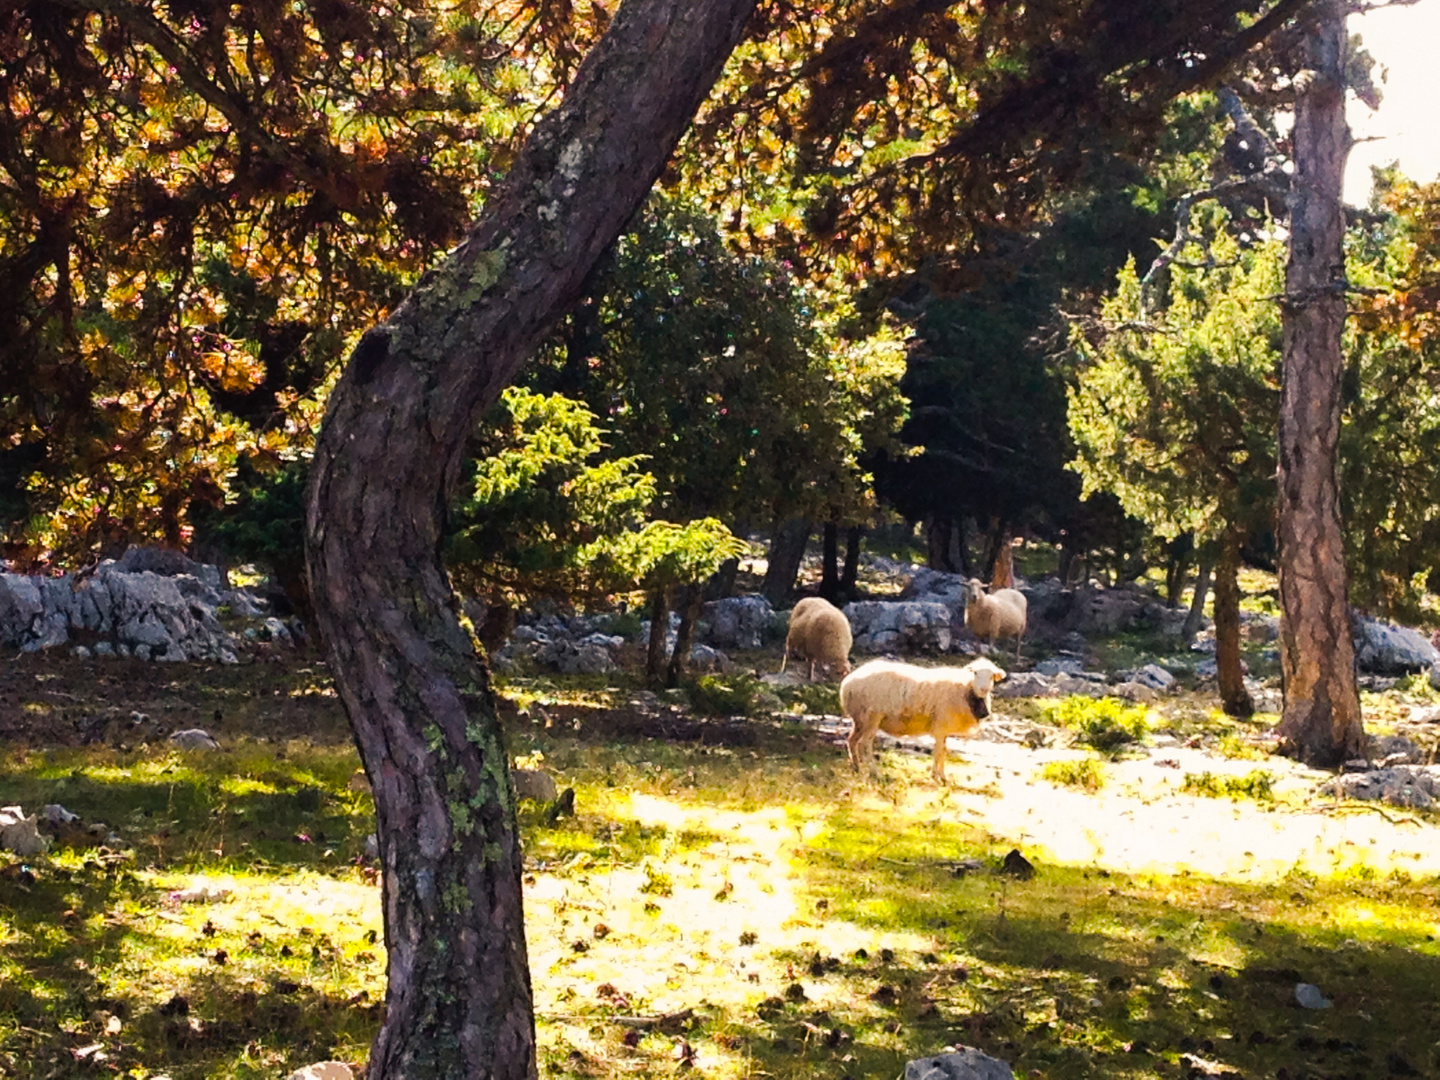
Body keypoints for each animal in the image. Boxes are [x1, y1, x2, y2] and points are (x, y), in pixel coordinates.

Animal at [840, 656, 1008, 783]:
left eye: (992, 676)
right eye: (975, 673)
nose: (983, 689)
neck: (964, 689)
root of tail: (848, 683)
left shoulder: (943, 729)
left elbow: (942, 751)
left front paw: (940, 775)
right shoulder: (940, 726)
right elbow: (939, 752)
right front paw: (937, 776)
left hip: (859, 719)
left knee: (852, 740)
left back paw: (856, 767)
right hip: (872, 716)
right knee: (864, 745)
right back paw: (875, 773)